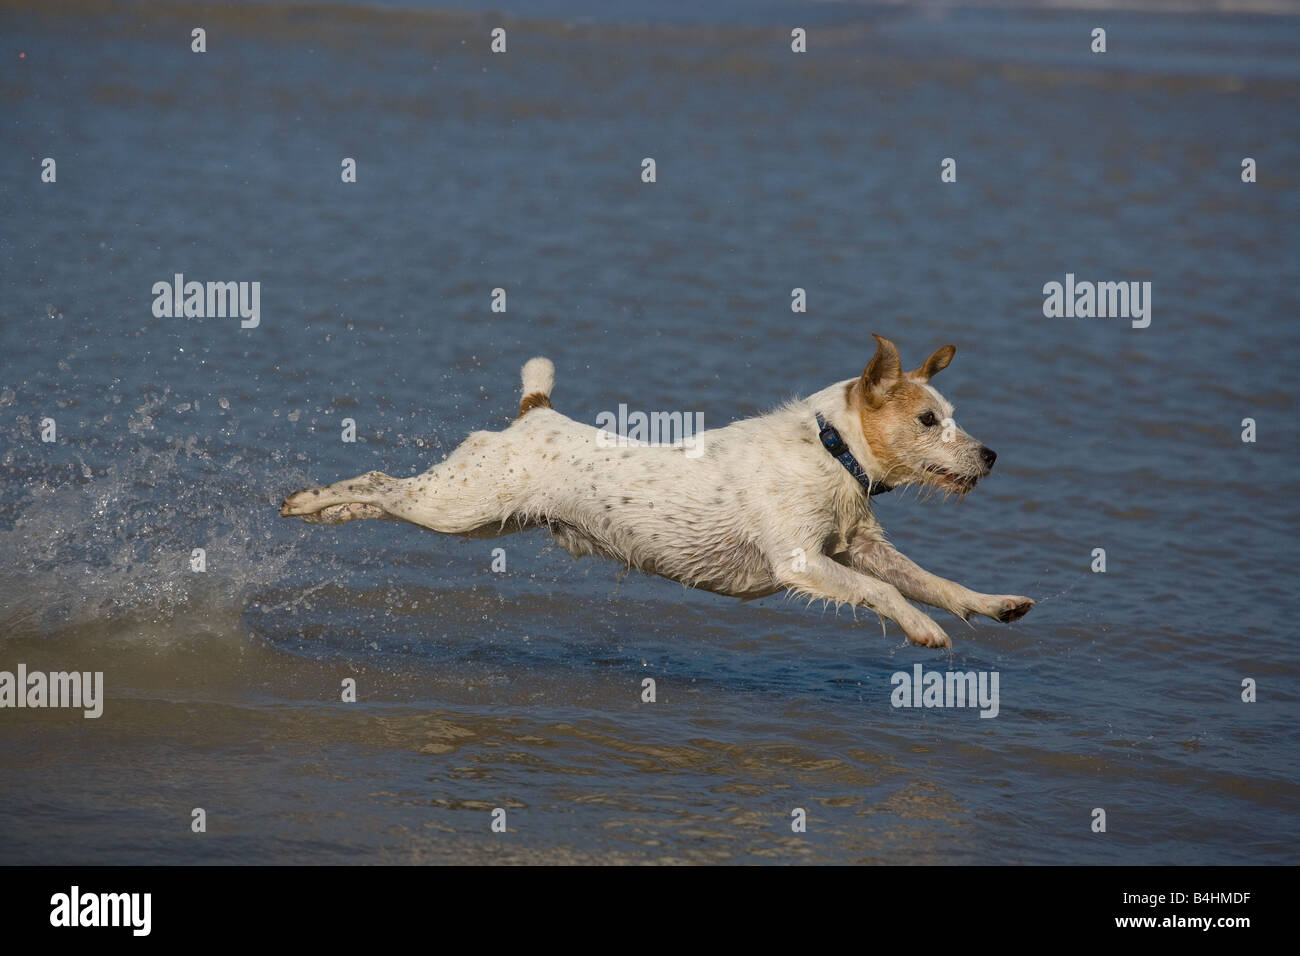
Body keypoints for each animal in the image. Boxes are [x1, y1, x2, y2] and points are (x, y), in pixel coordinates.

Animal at [282, 335, 1034, 650]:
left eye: (952, 416)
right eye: (929, 421)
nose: (992, 455)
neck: (832, 452)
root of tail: (534, 413)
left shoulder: (858, 548)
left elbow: (932, 581)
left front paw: (992, 604)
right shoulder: (802, 562)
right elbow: (884, 594)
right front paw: (923, 629)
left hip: (482, 519)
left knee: (383, 494)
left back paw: (331, 512)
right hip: (458, 508)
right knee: (380, 484)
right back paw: (312, 501)